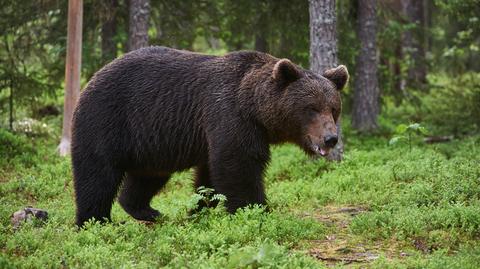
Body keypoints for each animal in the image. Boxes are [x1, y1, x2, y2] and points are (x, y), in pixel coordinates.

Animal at [71, 46, 346, 226]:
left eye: (333, 108)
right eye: (311, 108)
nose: (330, 138)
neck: (254, 110)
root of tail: (91, 79)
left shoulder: (217, 131)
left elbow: (210, 176)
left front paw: (197, 210)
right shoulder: (229, 115)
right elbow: (237, 166)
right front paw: (257, 210)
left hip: (151, 142)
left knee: (148, 176)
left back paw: (146, 210)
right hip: (107, 119)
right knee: (97, 175)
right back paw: (94, 221)